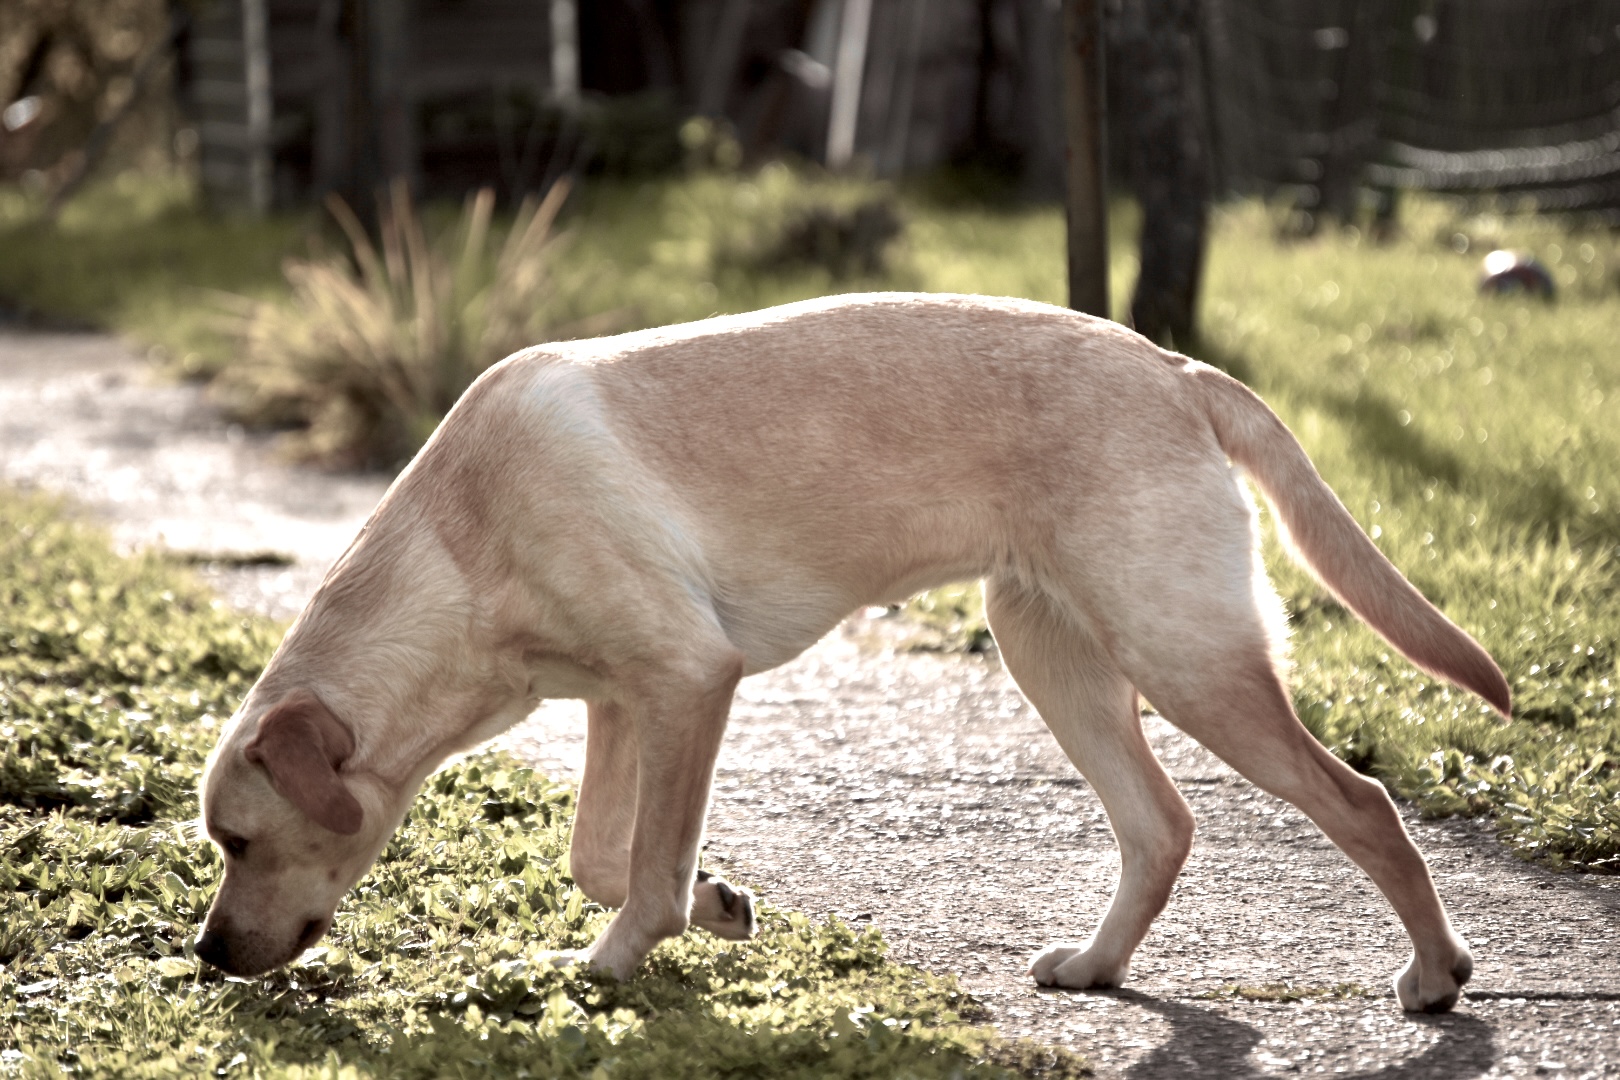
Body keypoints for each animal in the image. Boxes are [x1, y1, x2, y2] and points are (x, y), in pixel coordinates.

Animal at [196, 289, 1509, 1016]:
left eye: (238, 841)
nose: (207, 956)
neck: (463, 542)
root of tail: (1171, 365)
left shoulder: (690, 680)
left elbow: (643, 867)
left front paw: (614, 966)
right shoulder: (629, 699)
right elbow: (604, 854)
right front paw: (713, 905)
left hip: (1189, 660)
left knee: (1364, 803)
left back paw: (1436, 974)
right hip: (1052, 653)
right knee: (1162, 825)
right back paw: (1096, 965)